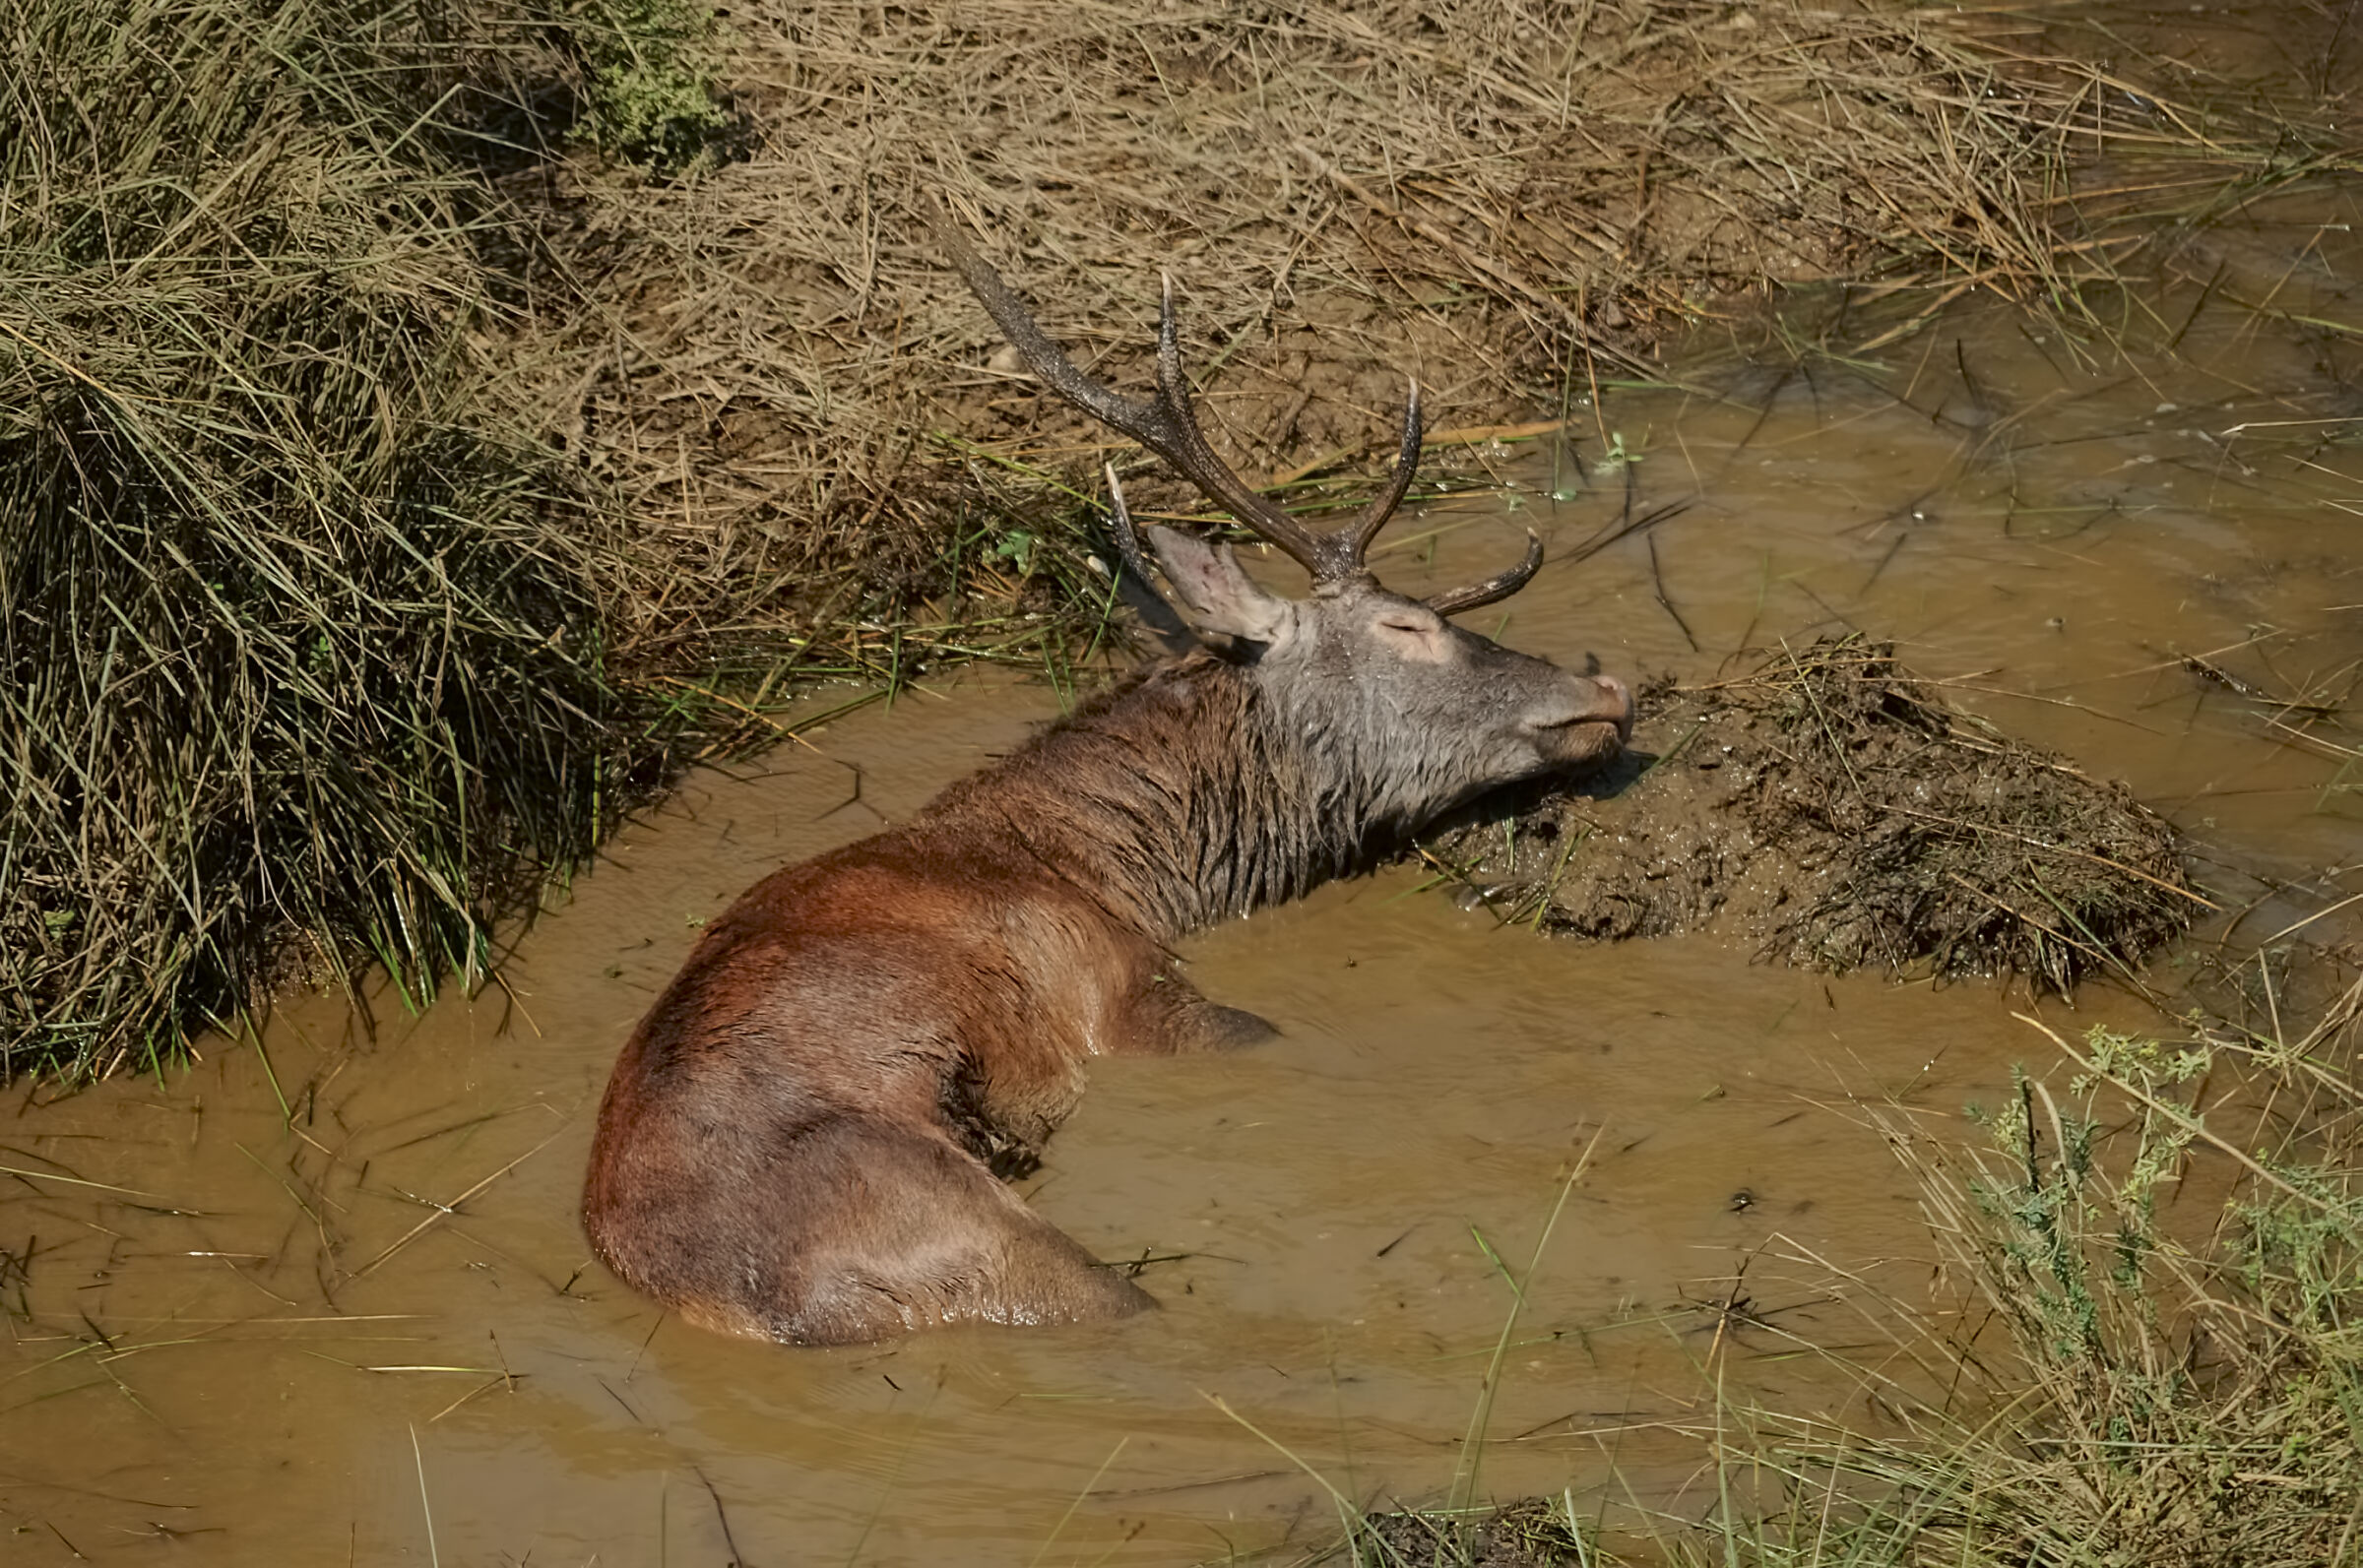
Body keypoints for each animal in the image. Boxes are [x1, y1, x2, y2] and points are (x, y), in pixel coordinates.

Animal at [580, 231, 1634, 1345]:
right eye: (1407, 626)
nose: (1606, 689)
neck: (1118, 867)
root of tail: (743, 1303)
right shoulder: (1124, 988)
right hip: (970, 1227)